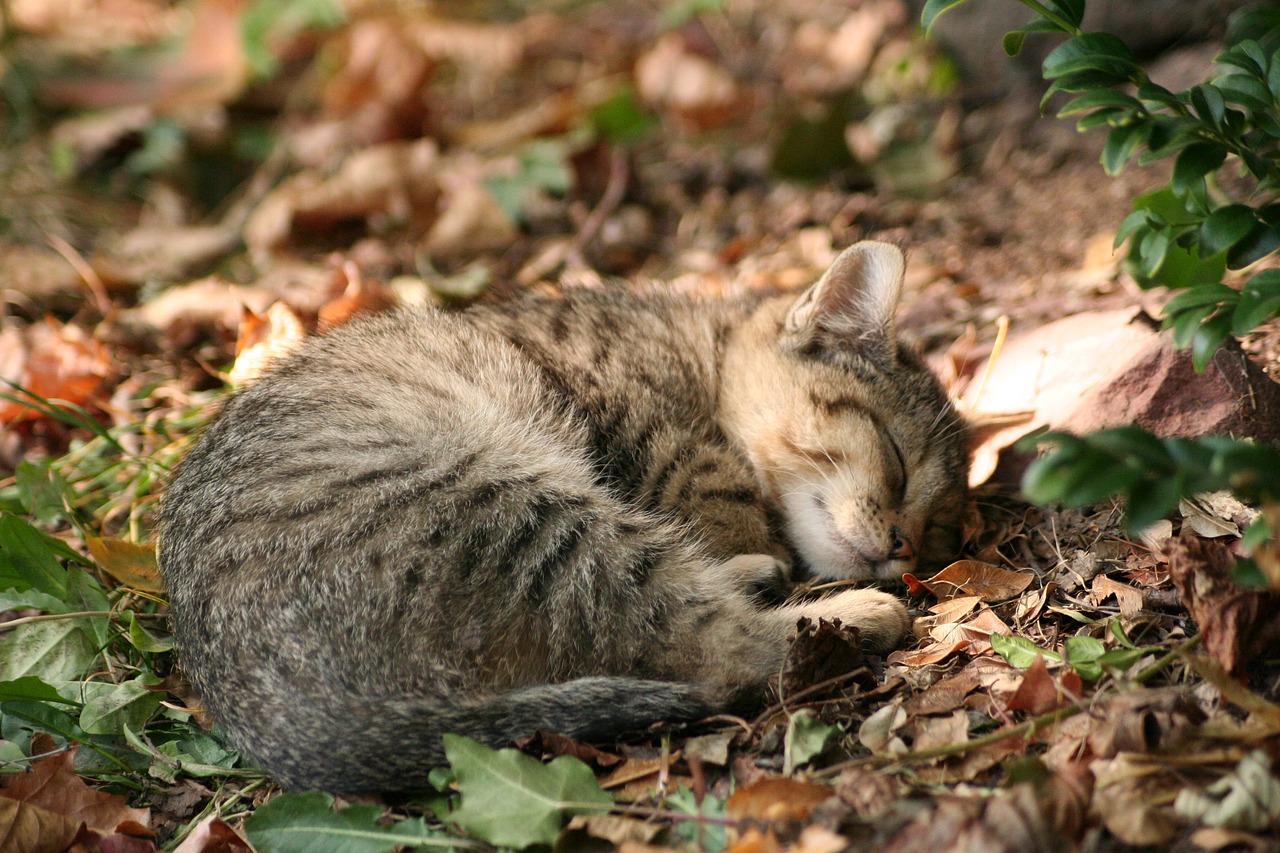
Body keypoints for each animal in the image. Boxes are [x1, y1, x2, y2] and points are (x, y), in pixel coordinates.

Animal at [165, 239, 972, 788]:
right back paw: (852, 611)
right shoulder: (641, 424)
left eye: (939, 527)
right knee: (719, 650)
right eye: (896, 463)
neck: (698, 356)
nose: (903, 546)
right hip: (524, 508)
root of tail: (272, 715)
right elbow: (716, 490)